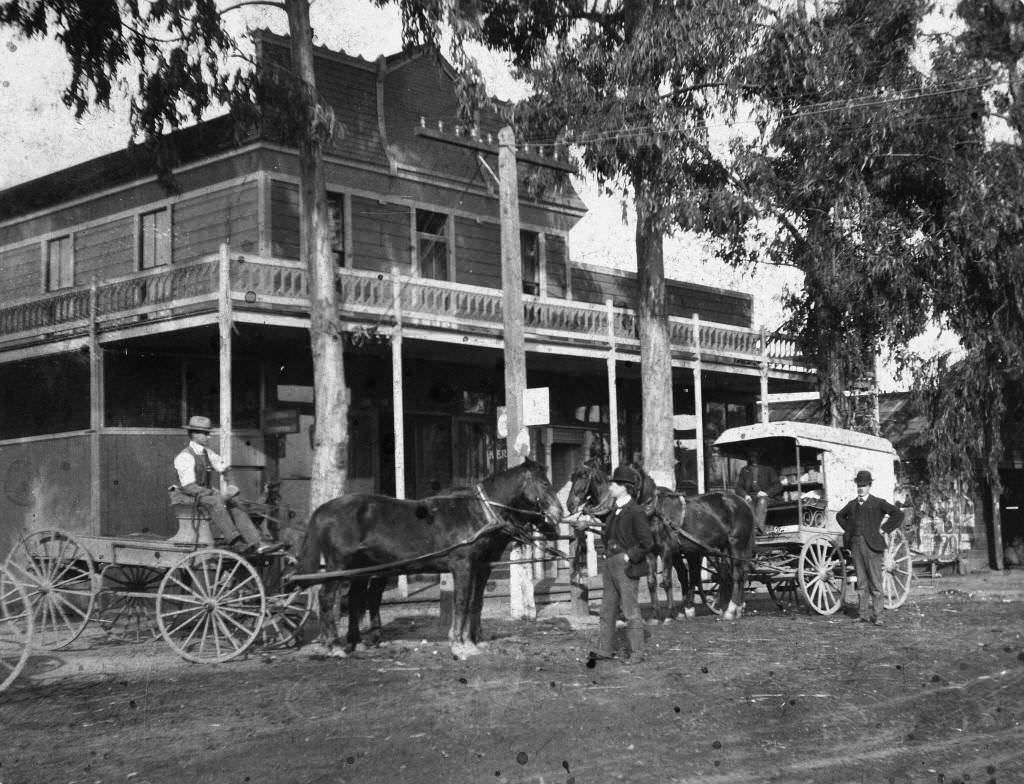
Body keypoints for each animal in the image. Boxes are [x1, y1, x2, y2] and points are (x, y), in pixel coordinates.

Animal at [292, 462, 565, 659]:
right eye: (543, 482)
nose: (558, 513)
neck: (478, 513)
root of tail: (323, 510)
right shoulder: (463, 566)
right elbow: (462, 603)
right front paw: (460, 644)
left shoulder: (480, 568)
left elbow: (475, 603)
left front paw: (473, 640)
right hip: (340, 567)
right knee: (327, 598)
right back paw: (334, 645)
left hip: (360, 568)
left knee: (354, 599)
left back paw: (353, 642)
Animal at [565, 462, 757, 622]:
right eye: (572, 477)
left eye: (583, 476)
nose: (569, 504)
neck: (654, 511)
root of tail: (742, 502)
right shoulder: (649, 551)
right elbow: (651, 582)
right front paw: (655, 615)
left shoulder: (666, 550)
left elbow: (666, 580)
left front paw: (669, 615)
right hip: (713, 547)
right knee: (724, 573)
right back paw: (731, 607)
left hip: (735, 544)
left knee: (736, 574)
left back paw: (730, 610)